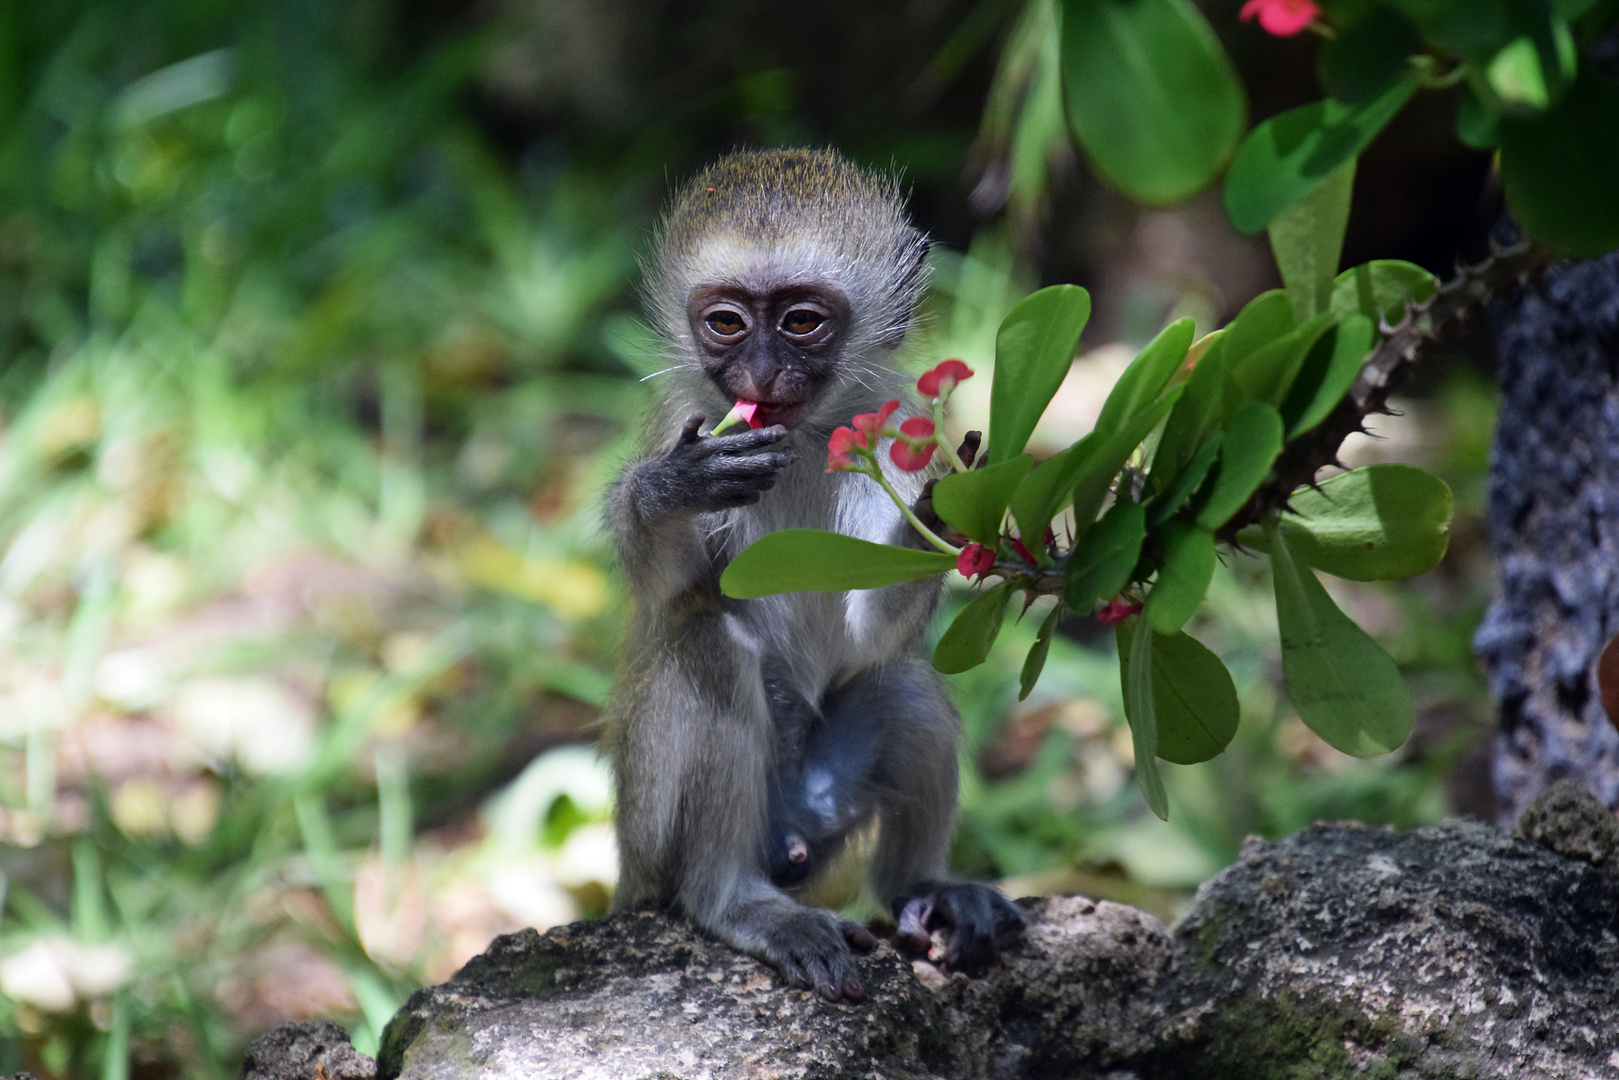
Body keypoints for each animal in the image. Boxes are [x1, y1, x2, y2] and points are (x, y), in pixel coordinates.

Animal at [608, 148, 1023, 1003]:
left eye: (800, 321)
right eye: (727, 322)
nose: (762, 376)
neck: (797, 440)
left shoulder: (893, 427)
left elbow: (872, 631)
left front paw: (944, 517)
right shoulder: (680, 421)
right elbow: (664, 588)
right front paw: (669, 491)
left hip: (820, 816)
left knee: (904, 686)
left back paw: (921, 890)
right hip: (651, 834)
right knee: (710, 645)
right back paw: (733, 901)